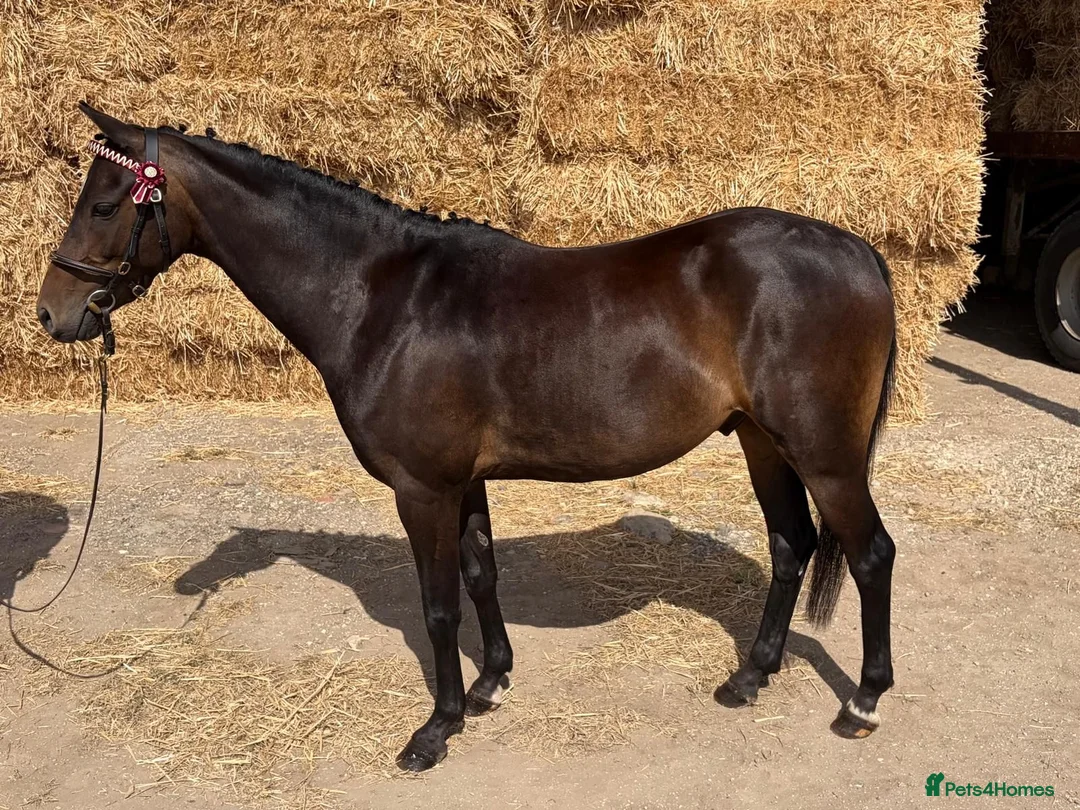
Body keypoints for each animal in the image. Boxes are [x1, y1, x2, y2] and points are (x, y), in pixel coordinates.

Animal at [37, 103, 898, 771]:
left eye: (106, 206)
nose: (52, 313)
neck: (381, 296)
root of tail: (858, 250)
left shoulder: (424, 488)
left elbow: (439, 605)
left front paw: (436, 728)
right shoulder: (466, 481)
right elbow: (483, 576)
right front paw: (490, 685)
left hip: (826, 457)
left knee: (870, 555)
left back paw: (862, 702)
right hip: (762, 441)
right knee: (790, 545)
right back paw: (750, 678)